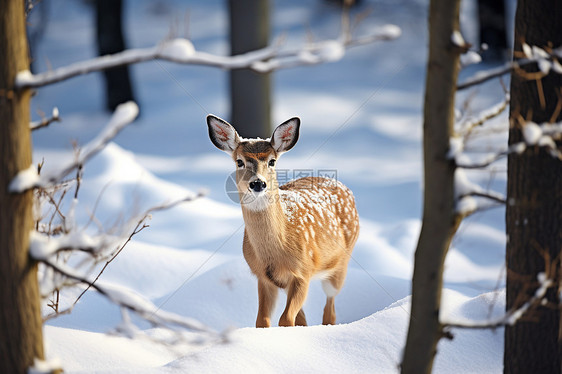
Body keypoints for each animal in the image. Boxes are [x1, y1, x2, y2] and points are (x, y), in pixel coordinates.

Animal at [206, 114, 358, 328]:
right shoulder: (263, 277)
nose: (258, 183)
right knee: (304, 318)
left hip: (341, 263)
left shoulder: (303, 271)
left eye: (272, 161)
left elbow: (285, 319)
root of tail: (342, 185)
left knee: (330, 310)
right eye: (239, 161)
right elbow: (262, 320)